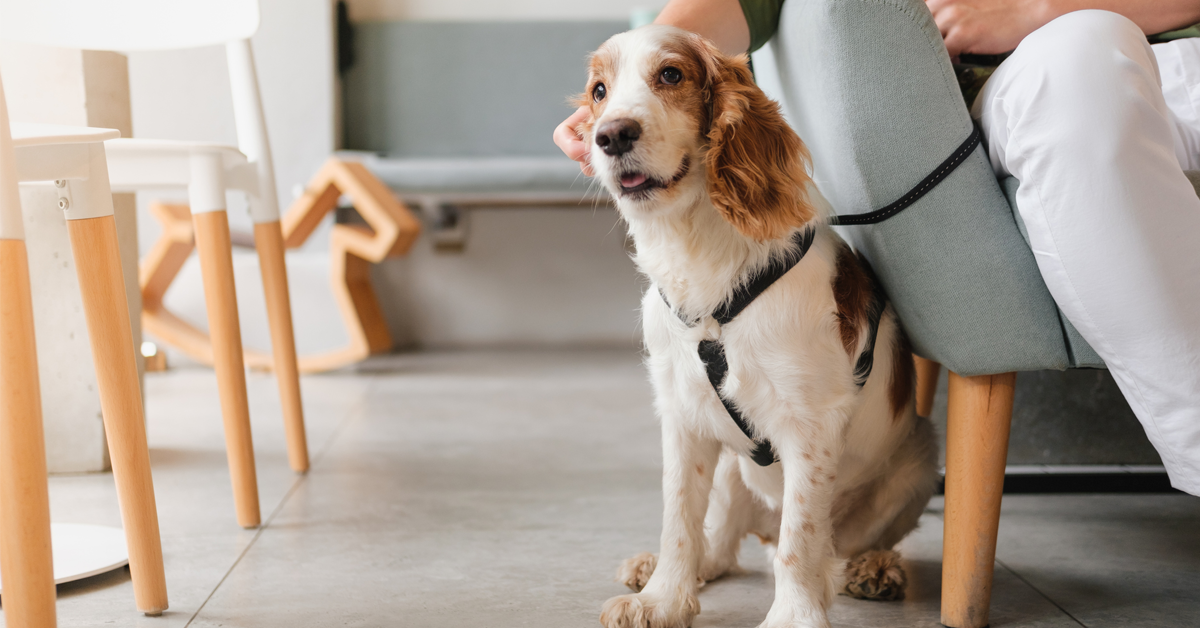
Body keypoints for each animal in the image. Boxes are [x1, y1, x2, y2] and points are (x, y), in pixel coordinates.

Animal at [576, 25, 940, 628]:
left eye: (671, 74)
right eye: (599, 91)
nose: (610, 136)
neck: (701, 249)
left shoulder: (810, 424)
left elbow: (800, 537)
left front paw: (794, 614)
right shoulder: (683, 415)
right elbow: (679, 517)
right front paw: (662, 599)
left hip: (920, 456)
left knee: (841, 543)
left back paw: (875, 568)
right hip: (734, 467)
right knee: (721, 542)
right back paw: (660, 567)